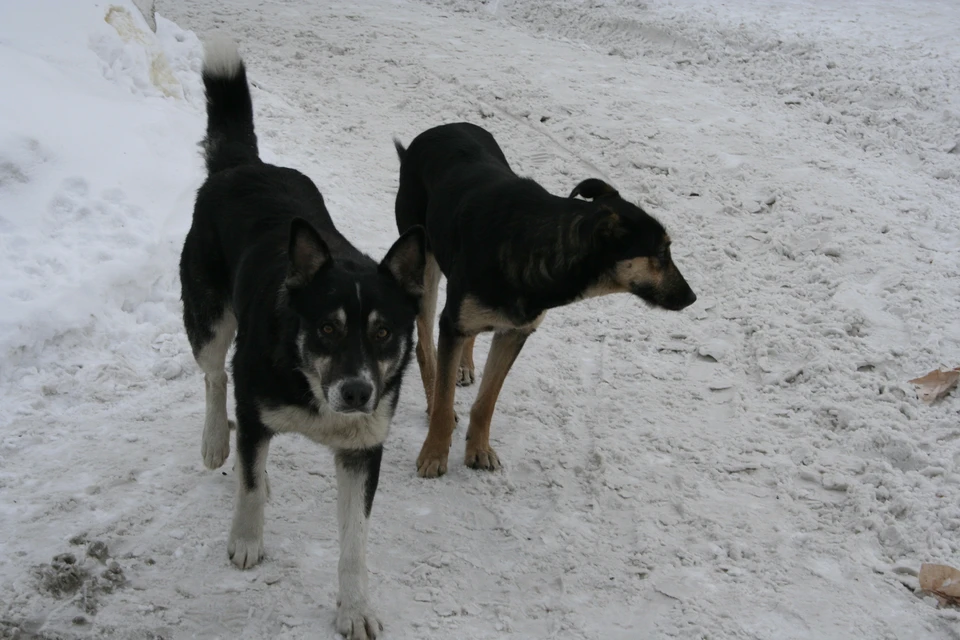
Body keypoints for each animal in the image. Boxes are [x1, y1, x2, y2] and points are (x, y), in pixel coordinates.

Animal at [180, 40, 424, 640]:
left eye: (384, 332)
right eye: (327, 327)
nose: (357, 392)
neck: (309, 379)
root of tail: (245, 165)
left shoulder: (362, 451)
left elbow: (355, 543)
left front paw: (354, 608)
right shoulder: (256, 400)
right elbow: (247, 481)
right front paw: (246, 540)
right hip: (209, 318)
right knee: (215, 377)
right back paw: (216, 440)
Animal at [394, 122, 692, 478]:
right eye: (661, 253)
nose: (692, 297)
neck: (537, 245)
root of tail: (439, 129)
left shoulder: (515, 332)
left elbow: (486, 402)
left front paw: (479, 450)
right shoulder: (454, 325)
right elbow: (443, 399)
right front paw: (434, 454)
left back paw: (464, 366)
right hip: (424, 264)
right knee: (426, 347)